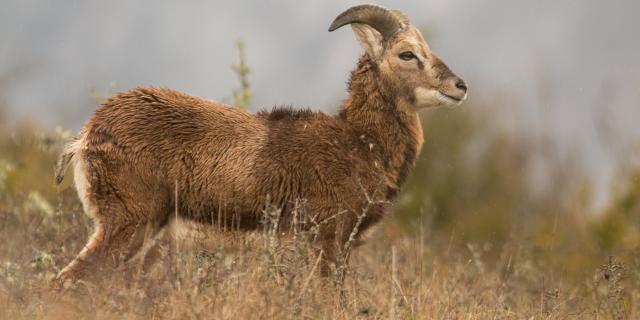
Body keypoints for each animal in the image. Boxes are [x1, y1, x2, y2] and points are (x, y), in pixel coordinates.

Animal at [53, 3, 464, 284]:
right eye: (407, 53)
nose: (459, 86)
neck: (357, 142)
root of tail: (87, 136)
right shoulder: (327, 241)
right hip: (127, 225)